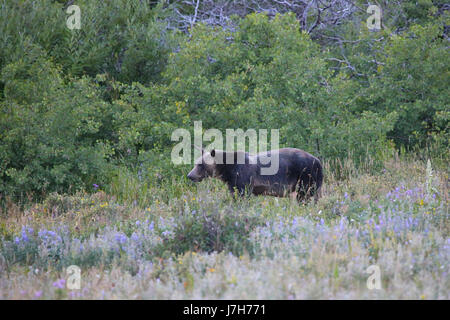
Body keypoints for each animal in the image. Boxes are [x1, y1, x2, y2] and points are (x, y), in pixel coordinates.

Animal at [187, 148, 324, 202]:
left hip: (306, 174)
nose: (190, 175)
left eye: (200, 164)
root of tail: (318, 161)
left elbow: (242, 194)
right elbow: (234, 193)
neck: (227, 170)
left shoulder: (243, 176)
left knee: (304, 194)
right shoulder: (232, 181)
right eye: (196, 163)